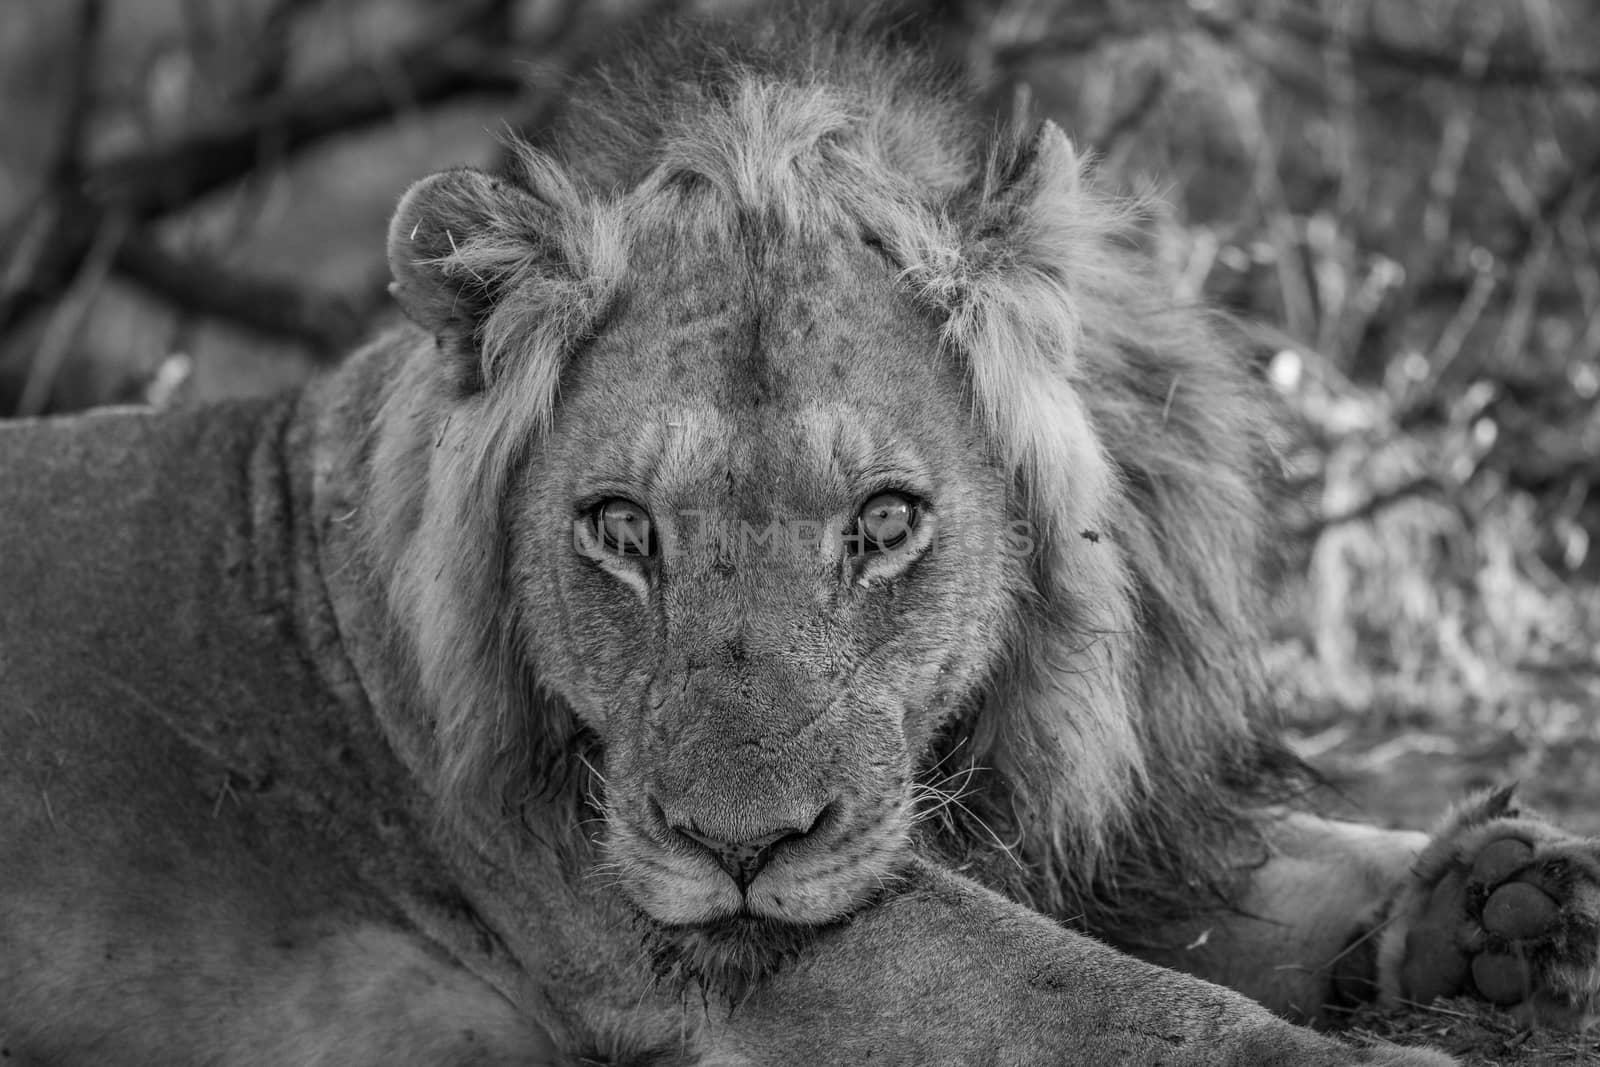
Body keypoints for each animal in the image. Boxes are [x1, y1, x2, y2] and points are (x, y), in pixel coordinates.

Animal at [3, 8, 1600, 1067]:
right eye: (620, 528)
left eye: (885, 521)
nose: (739, 849)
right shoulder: (695, 941)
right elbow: (1117, 1001)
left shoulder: (1105, 824)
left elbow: (1265, 868)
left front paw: (1504, 897)